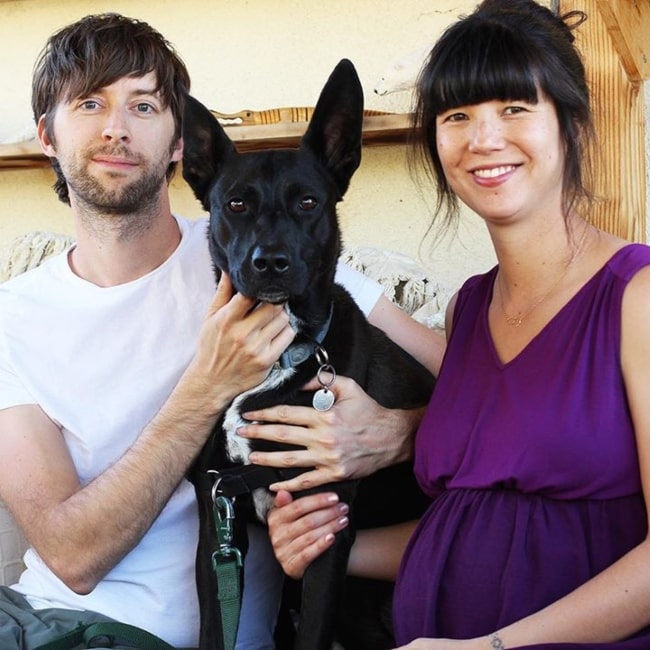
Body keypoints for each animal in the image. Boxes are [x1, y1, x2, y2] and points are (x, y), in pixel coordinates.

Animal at [182, 58, 432, 644]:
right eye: (236, 203)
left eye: (308, 202)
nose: (269, 262)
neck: (275, 359)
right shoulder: (217, 528)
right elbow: (215, 630)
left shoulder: (325, 527)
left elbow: (311, 633)